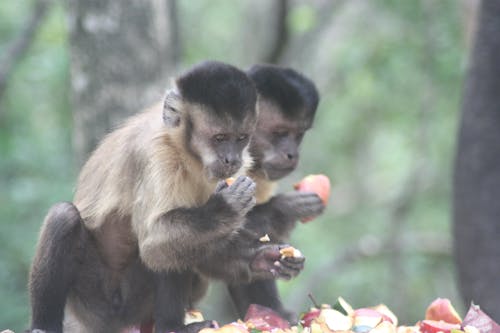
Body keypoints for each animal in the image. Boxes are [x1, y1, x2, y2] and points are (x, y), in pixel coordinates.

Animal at [28, 61, 304, 332]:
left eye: (241, 139)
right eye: (219, 138)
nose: (232, 159)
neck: (185, 151)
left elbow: (205, 244)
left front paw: (263, 259)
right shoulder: (156, 155)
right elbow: (154, 239)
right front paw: (225, 207)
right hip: (91, 305)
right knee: (68, 217)